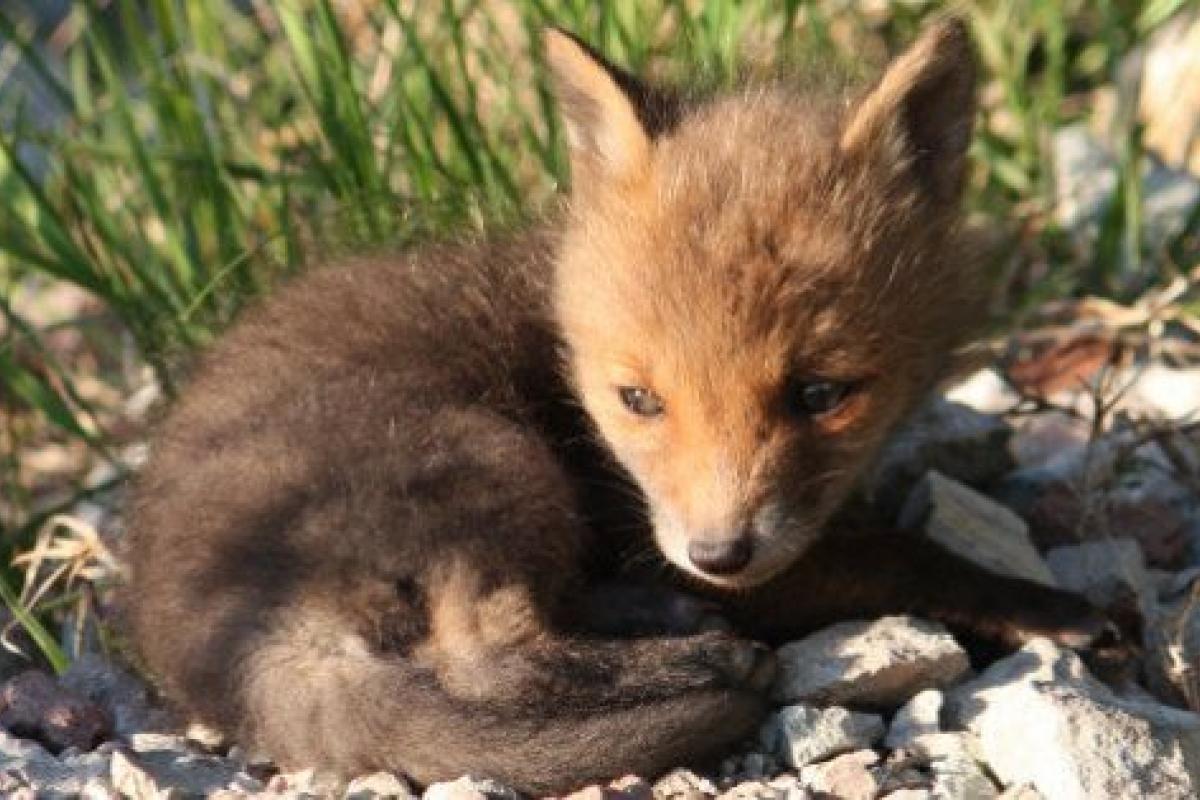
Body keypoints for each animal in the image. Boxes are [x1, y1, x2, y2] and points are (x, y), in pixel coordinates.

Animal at [123, 17, 1123, 795]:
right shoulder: (671, 533)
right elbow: (904, 555)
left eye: (820, 394)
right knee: (485, 656)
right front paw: (1043, 605)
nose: (719, 556)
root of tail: (210, 641)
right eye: (638, 400)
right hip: (495, 460)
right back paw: (703, 656)